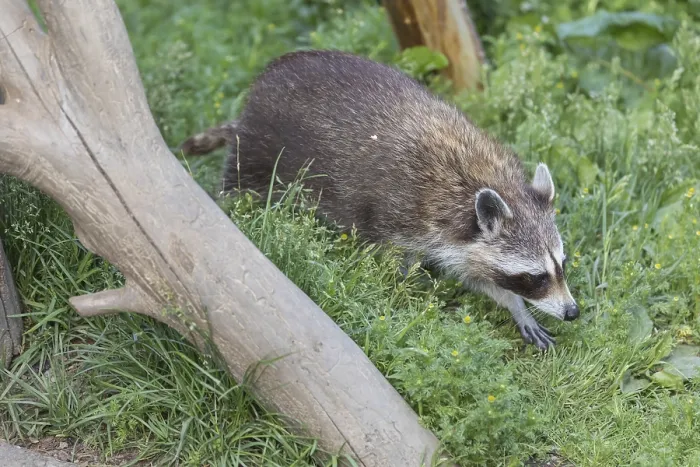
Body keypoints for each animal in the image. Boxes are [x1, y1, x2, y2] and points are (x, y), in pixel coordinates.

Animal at [180, 50, 579, 350]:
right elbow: (397, 268)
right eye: (536, 277)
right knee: (240, 185)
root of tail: (248, 109)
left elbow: (475, 274)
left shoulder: (463, 237)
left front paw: (515, 306)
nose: (572, 311)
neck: (487, 180)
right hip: (259, 149)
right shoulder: (402, 213)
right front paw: (413, 294)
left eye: (561, 264)